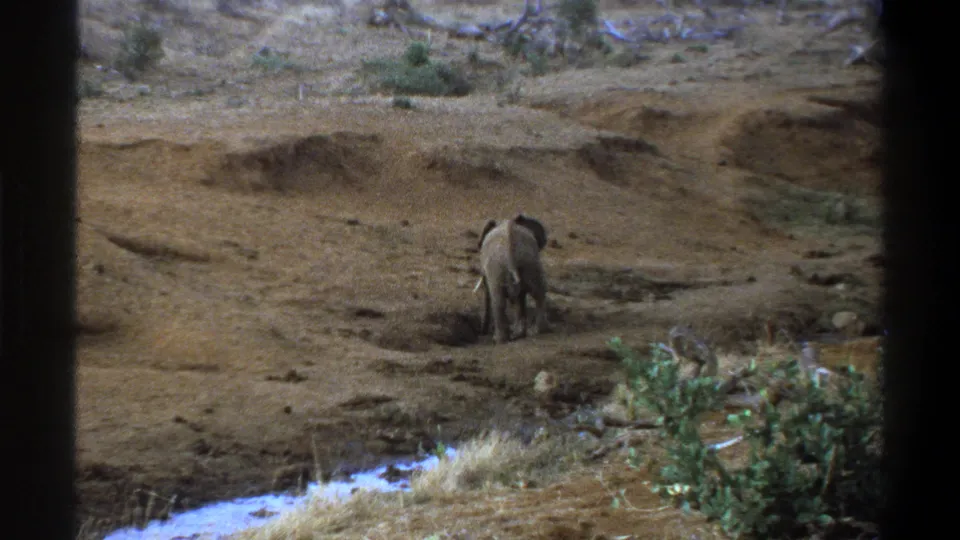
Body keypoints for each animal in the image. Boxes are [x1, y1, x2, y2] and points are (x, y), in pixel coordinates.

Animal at [473, 213, 550, 344]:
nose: (482, 332)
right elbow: (520, 298)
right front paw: (519, 333)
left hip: (498, 267)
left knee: (498, 300)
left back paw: (499, 340)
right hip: (529, 262)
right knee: (538, 293)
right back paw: (534, 331)